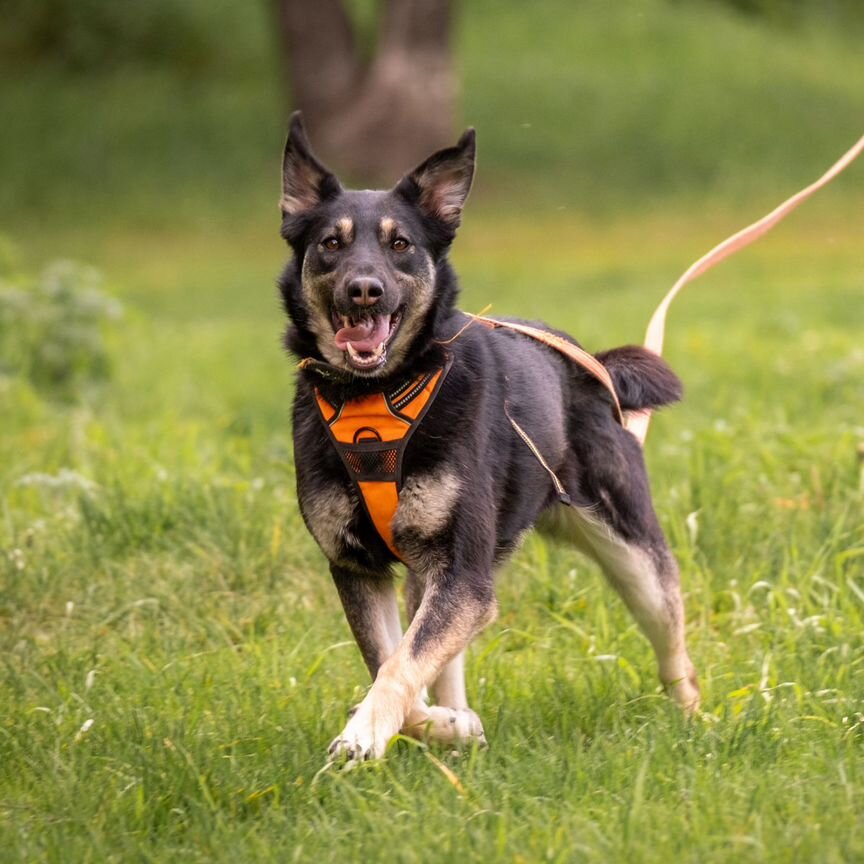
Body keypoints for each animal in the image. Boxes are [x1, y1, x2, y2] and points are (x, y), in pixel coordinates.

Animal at [280, 111, 700, 760]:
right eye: (331, 243)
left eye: (400, 244)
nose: (364, 289)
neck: (379, 398)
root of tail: (593, 363)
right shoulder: (363, 568)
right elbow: (394, 666)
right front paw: (446, 726)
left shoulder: (463, 577)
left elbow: (400, 667)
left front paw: (366, 735)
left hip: (634, 559)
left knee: (673, 650)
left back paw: (696, 722)